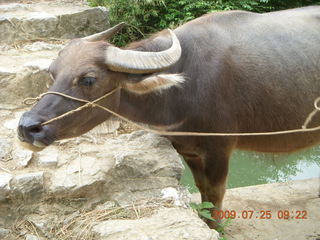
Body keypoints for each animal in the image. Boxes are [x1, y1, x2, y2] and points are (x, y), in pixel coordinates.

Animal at [16, 6, 320, 228]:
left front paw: (215, 228)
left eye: (89, 79)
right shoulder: (188, 149)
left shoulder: (220, 149)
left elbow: (216, 195)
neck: (183, 85)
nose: (28, 127)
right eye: (52, 73)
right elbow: (203, 191)